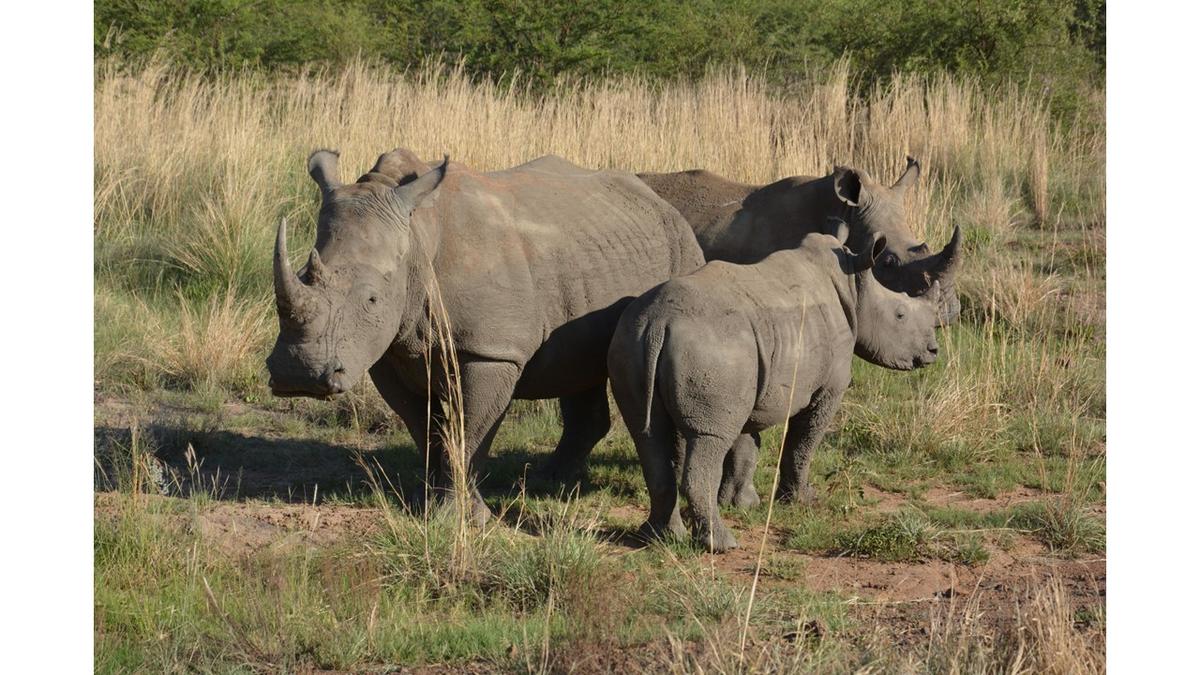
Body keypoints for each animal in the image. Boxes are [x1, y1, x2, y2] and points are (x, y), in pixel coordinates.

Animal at [614, 228, 940, 550]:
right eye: (900, 315)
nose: (933, 350)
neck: (854, 283)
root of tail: (660, 323)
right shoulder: (827, 388)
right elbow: (803, 441)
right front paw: (801, 499)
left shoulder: (750, 383)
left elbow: (746, 444)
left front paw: (742, 503)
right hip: (714, 348)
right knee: (709, 438)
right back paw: (722, 544)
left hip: (635, 337)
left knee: (646, 435)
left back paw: (659, 538)